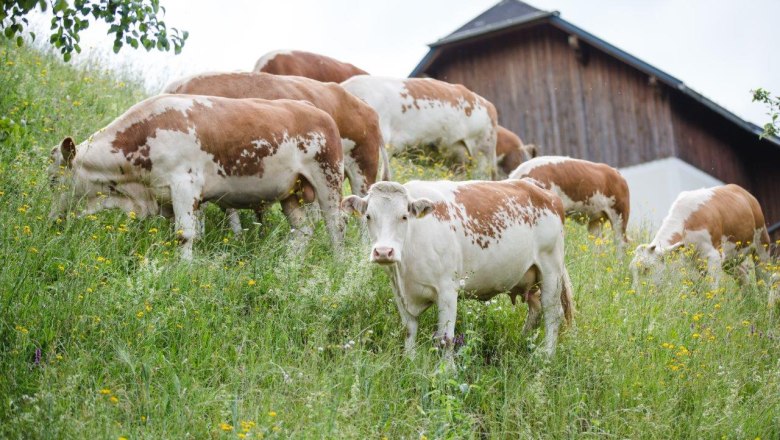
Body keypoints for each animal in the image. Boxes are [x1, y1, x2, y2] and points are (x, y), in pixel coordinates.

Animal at [48, 93, 342, 258]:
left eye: (53, 180)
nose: (50, 220)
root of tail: (313, 109)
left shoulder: (184, 186)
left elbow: (185, 235)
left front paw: (183, 271)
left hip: (329, 180)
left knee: (335, 228)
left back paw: (338, 268)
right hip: (290, 193)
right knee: (303, 230)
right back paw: (287, 266)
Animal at [342, 180, 572, 356]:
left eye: (404, 216)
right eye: (369, 216)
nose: (383, 252)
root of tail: (544, 193)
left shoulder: (447, 290)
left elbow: (446, 338)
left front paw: (446, 372)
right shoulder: (399, 291)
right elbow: (409, 329)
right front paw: (410, 359)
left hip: (551, 270)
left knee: (553, 313)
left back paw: (546, 354)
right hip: (529, 278)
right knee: (536, 308)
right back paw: (524, 341)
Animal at [632, 184, 772, 298]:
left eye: (646, 269)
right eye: (632, 270)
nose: (637, 295)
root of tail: (746, 193)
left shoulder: (714, 256)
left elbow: (712, 288)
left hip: (762, 244)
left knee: (763, 277)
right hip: (730, 259)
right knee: (743, 275)